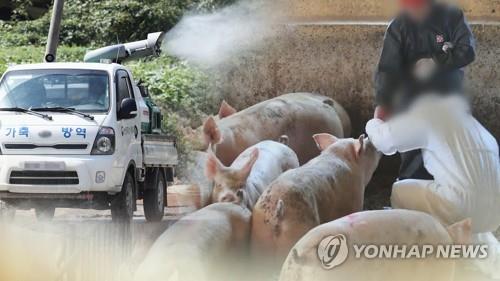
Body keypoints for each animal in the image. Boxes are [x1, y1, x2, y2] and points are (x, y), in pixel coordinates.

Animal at [252, 132, 380, 264]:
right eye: (368, 148)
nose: (371, 141)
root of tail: (277, 214)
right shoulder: (355, 199)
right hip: (297, 231)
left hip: (258, 238)